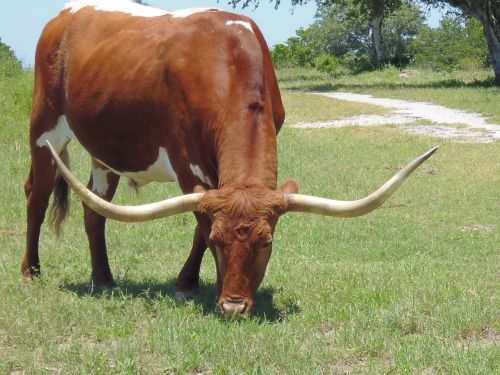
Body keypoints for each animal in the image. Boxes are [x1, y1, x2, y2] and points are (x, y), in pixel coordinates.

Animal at [24, 0, 438, 318]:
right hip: (45, 128)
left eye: (267, 242)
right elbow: (199, 221)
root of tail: (63, 15)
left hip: (106, 151)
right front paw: (199, 285)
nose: (235, 307)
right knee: (37, 195)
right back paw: (31, 271)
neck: (229, 60)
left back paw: (104, 279)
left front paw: (195, 283)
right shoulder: (186, 161)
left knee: (95, 207)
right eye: (220, 241)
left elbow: (194, 225)